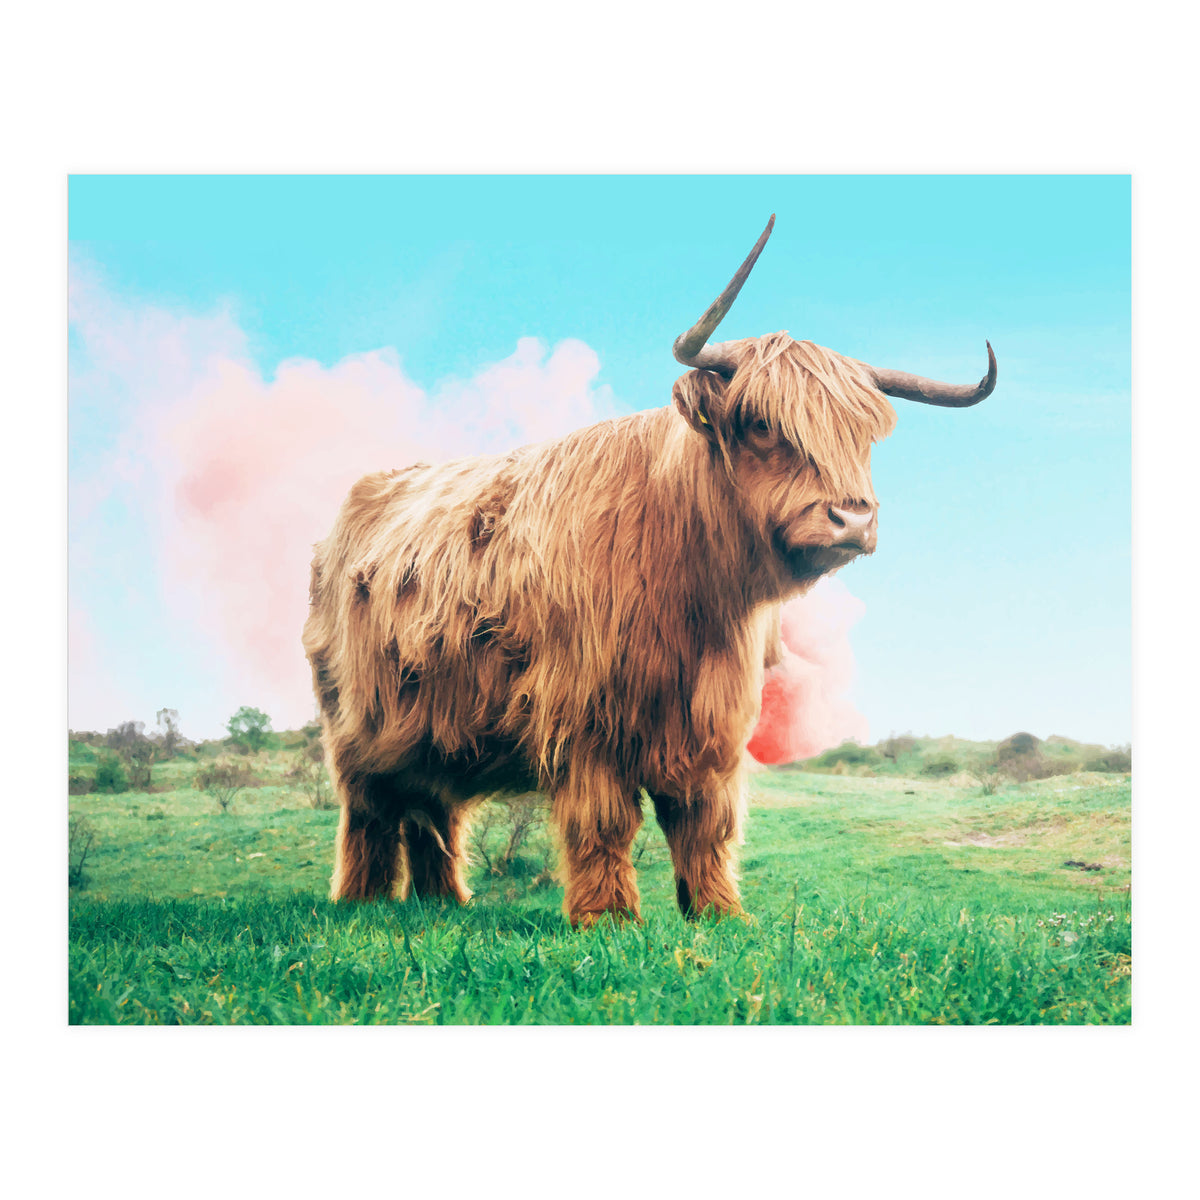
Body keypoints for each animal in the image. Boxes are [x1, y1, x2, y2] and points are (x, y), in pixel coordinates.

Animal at [302, 216, 996, 926]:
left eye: (862, 436)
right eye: (761, 423)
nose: (852, 519)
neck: (691, 593)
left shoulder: (713, 722)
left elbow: (705, 822)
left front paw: (719, 913)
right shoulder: (584, 715)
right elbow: (604, 821)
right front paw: (608, 918)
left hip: (432, 726)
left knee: (431, 809)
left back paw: (444, 902)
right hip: (356, 725)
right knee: (370, 811)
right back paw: (361, 902)